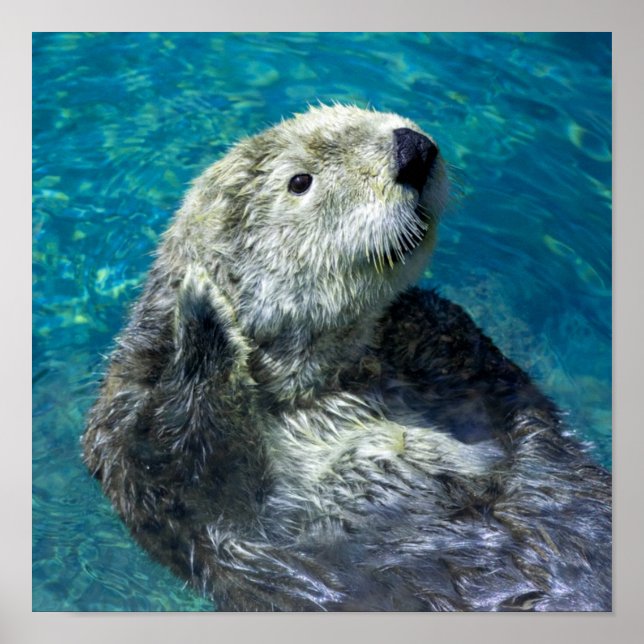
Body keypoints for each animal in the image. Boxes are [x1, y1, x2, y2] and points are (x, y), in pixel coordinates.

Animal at [83, 105, 611, 611]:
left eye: (365, 111)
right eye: (300, 181)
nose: (412, 148)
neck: (325, 383)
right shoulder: (137, 446)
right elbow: (187, 466)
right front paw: (201, 310)